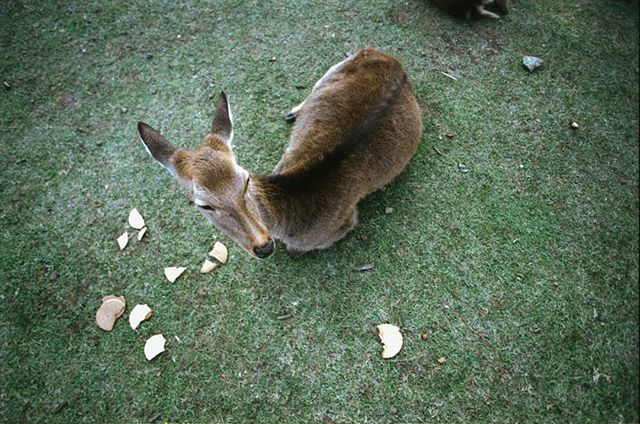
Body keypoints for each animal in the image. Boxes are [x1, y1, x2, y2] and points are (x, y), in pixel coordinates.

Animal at [138, 46, 422, 258]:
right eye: (204, 205)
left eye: (246, 180)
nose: (264, 247)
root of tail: (394, 60)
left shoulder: (345, 222)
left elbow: (298, 249)